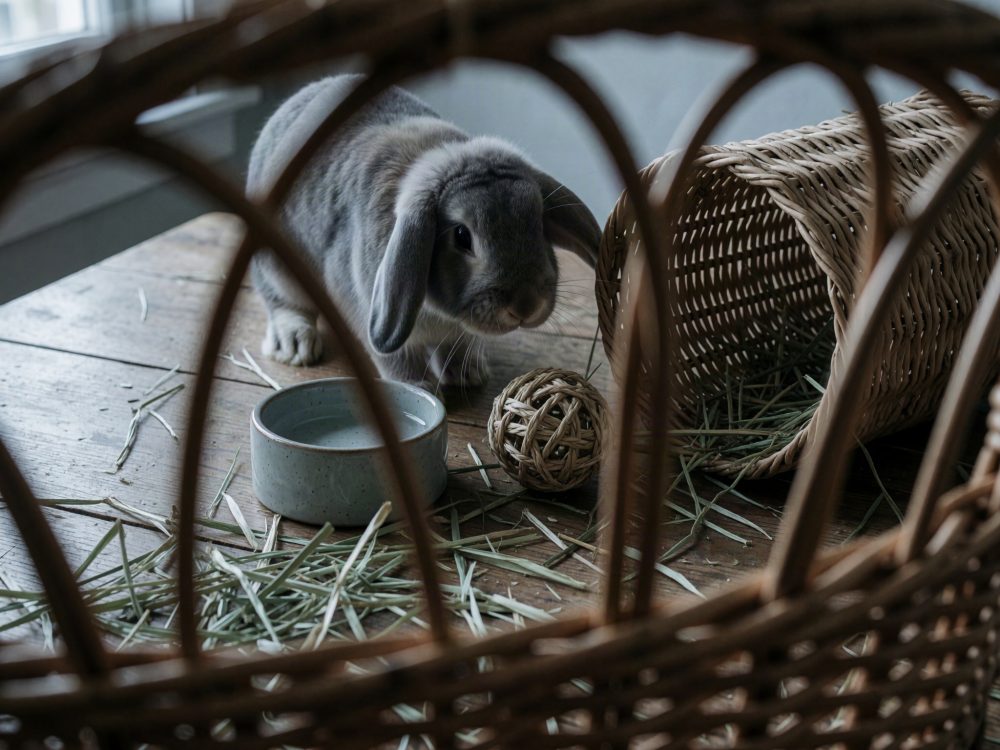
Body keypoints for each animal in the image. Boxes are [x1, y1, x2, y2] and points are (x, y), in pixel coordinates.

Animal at [246, 74, 601, 388]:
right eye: (462, 236)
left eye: (538, 221)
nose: (526, 306)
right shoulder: (366, 308)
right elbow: (394, 357)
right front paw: (418, 386)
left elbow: (456, 344)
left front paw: (467, 374)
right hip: (277, 270)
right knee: (282, 302)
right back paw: (295, 345)